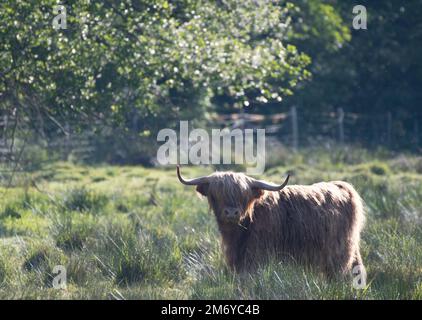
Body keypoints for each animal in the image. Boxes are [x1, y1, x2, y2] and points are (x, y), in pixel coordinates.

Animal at [176, 166, 364, 276]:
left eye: (243, 195)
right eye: (216, 193)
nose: (231, 212)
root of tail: (342, 186)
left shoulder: (257, 255)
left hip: (339, 251)